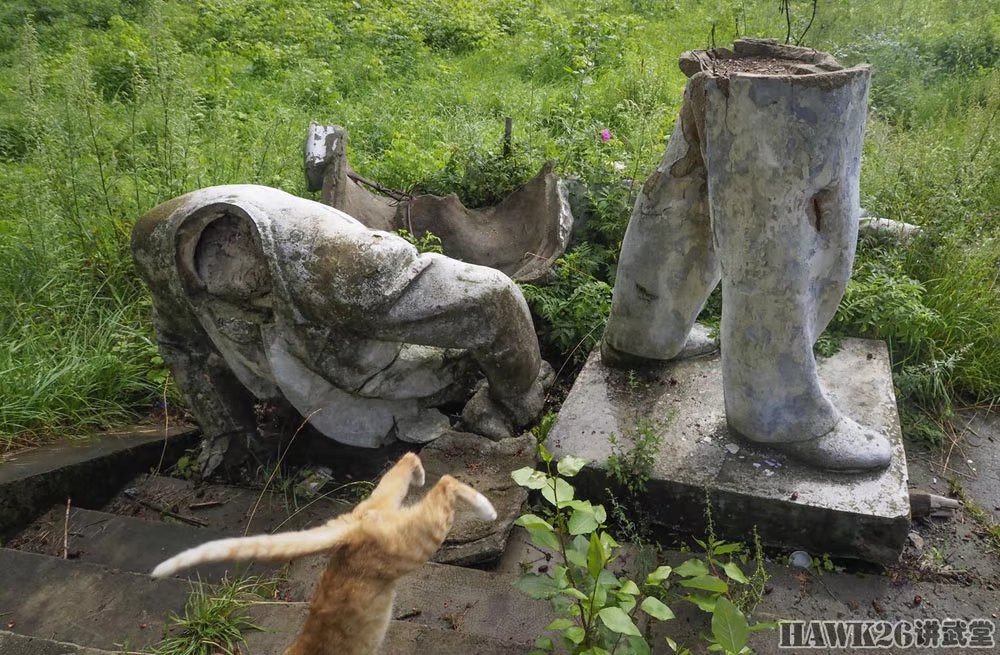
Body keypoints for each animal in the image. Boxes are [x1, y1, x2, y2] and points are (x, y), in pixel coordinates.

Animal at [151, 454, 496, 655]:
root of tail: (351, 527)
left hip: (416, 541)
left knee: (446, 483)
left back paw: (486, 509)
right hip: (388, 504)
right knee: (407, 461)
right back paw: (422, 475)